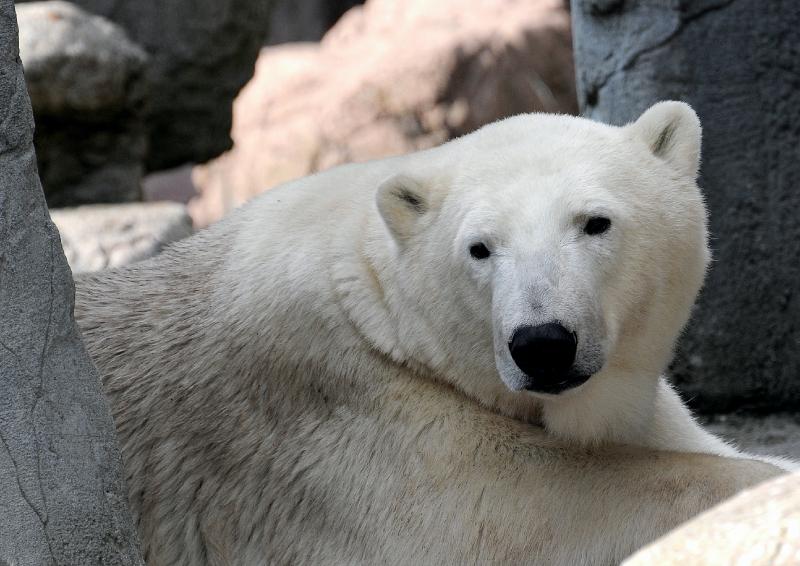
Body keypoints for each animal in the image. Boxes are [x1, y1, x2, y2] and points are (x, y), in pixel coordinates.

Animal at [73, 103, 788, 566]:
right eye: (480, 248)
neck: (377, 308)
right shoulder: (344, 430)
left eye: (595, 222)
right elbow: (523, 511)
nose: (542, 343)